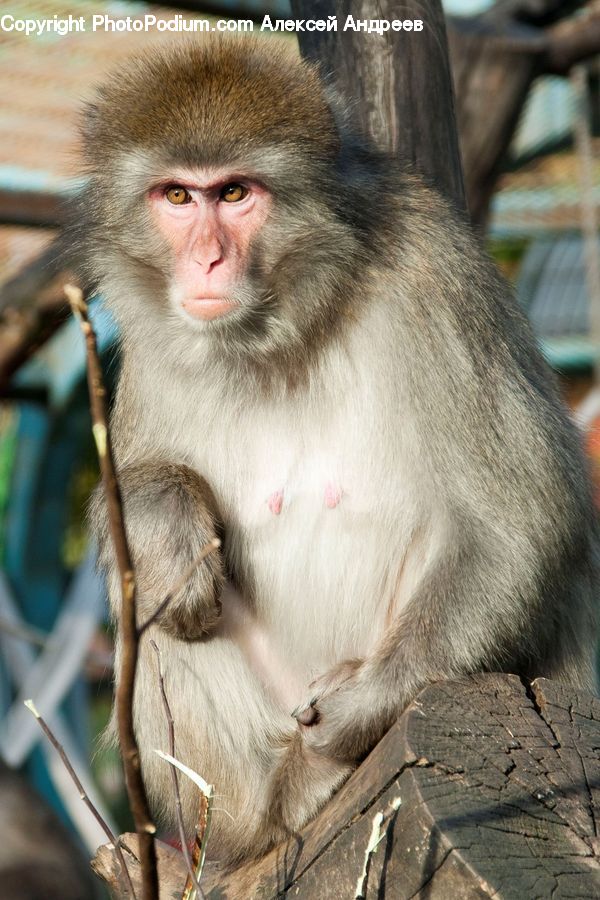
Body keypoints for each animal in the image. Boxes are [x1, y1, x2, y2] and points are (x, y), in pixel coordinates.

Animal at [81, 36, 599, 866]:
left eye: (235, 193)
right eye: (177, 197)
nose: (208, 262)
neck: (283, 328)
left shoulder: (433, 274)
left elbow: (520, 519)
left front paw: (369, 702)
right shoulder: (153, 348)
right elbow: (142, 510)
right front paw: (164, 515)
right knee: (160, 604)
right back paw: (261, 815)